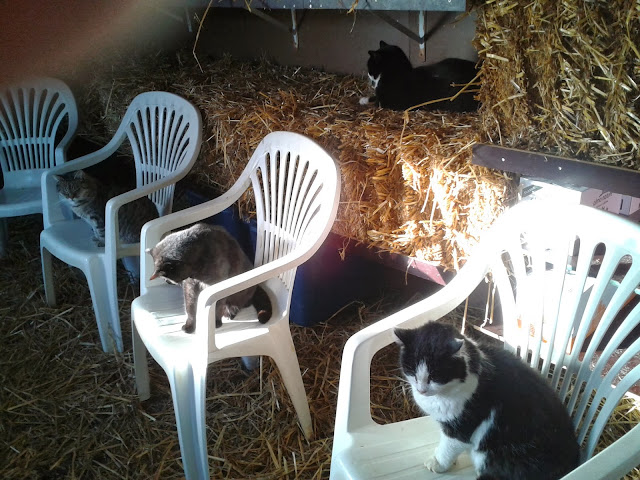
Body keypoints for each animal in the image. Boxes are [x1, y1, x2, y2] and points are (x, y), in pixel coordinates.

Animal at [394, 321, 580, 480]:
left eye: (435, 376)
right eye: (411, 371)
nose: (421, 390)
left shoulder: (463, 424)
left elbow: (449, 446)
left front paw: (438, 463)